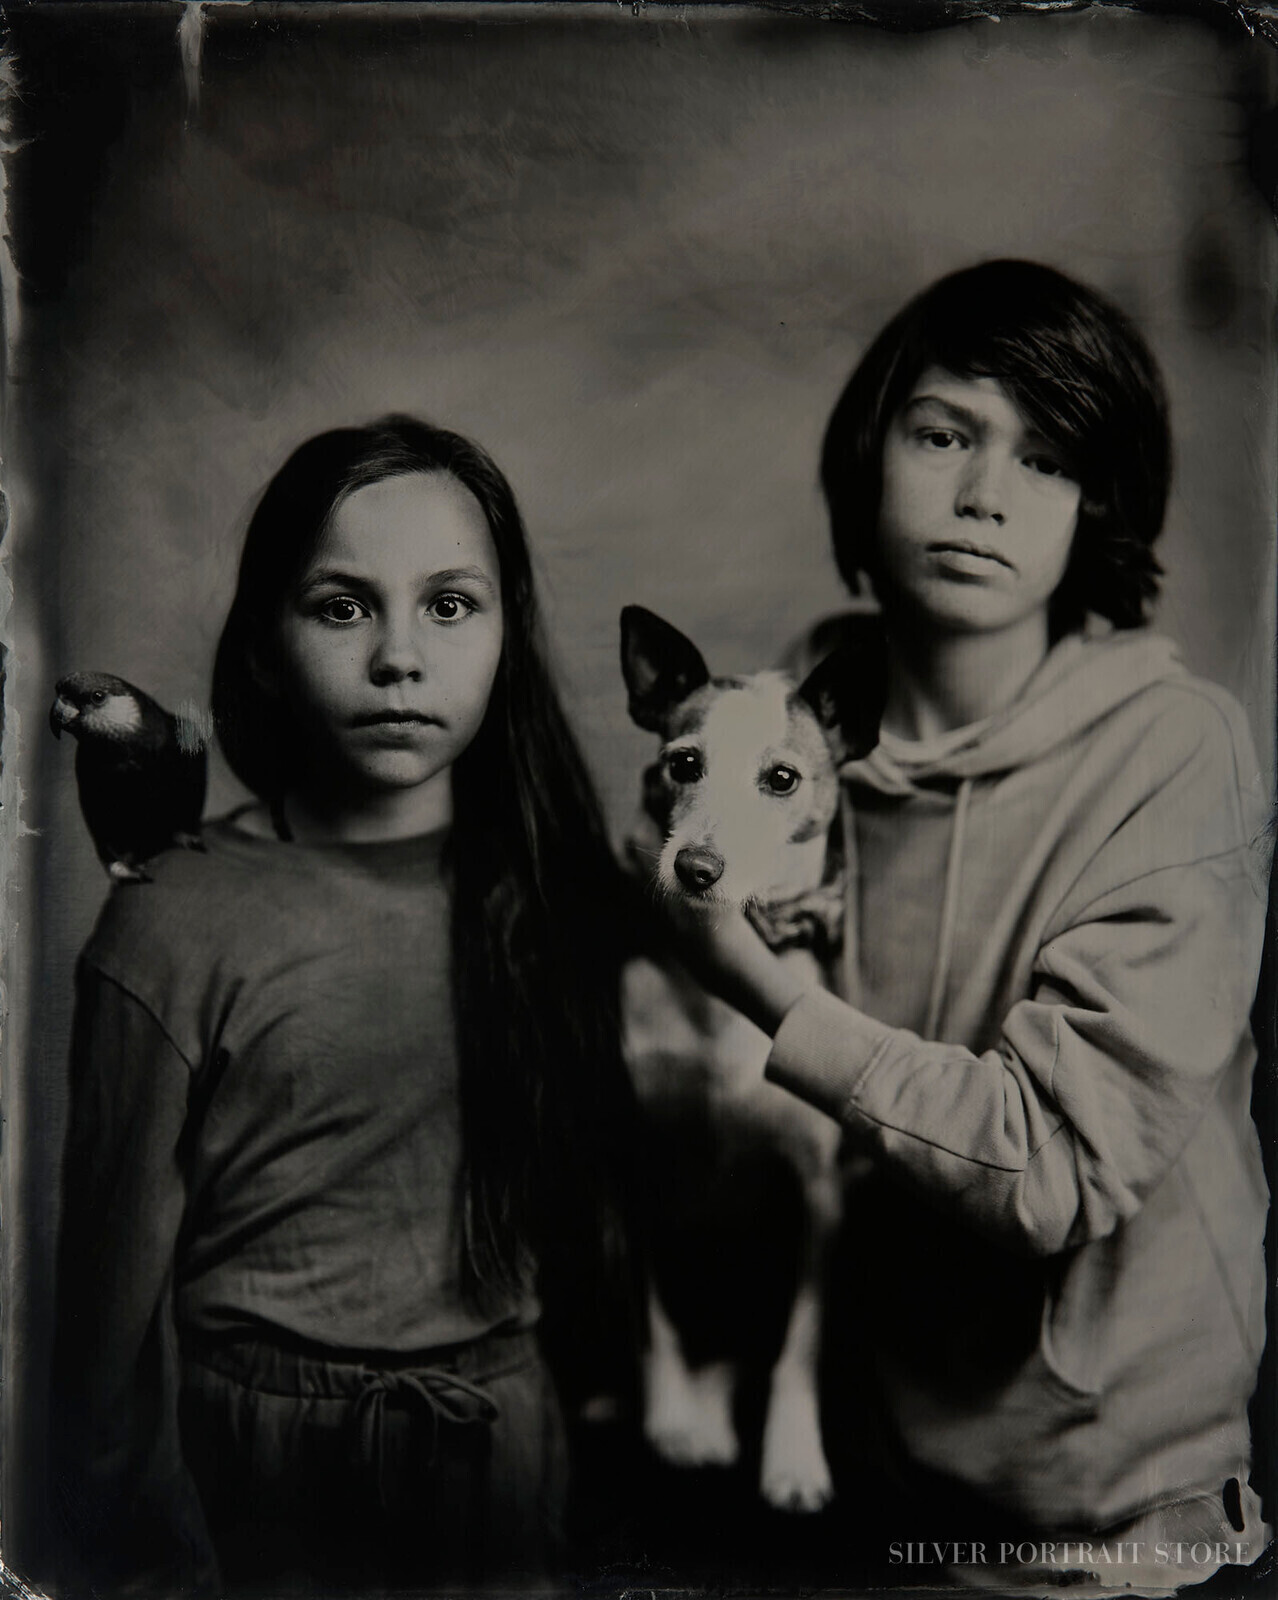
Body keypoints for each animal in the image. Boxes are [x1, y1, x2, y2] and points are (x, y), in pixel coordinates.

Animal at [617, 608, 882, 1510]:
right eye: (683, 764)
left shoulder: (819, 1195)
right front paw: (666, 1421)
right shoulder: (627, 1166)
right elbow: (650, 1314)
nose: (695, 869)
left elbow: (798, 1343)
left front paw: (794, 1459)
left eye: (782, 779)